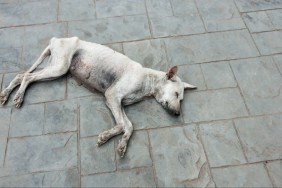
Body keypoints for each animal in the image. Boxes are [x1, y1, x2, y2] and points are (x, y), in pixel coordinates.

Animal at [0, 37, 195, 157]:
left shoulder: (118, 104)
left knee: (21, 75)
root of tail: (57, 39)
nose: (177, 114)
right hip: (59, 68)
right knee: (27, 76)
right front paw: (105, 137)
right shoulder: (112, 96)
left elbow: (129, 126)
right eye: (176, 94)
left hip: (55, 69)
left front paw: (122, 144)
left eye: (181, 99)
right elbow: (122, 125)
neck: (148, 80)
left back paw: (5, 94)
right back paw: (18, 97)